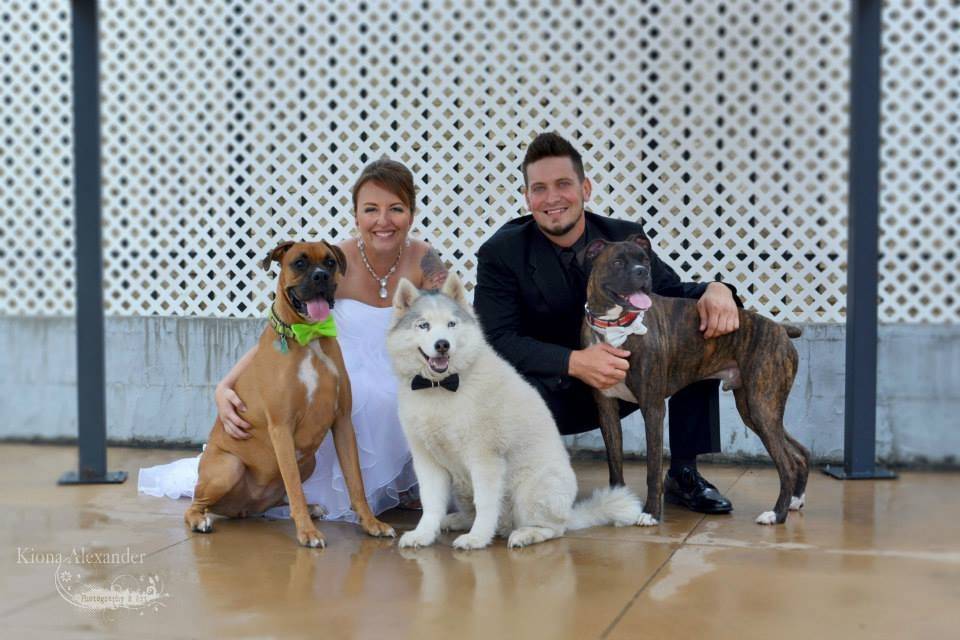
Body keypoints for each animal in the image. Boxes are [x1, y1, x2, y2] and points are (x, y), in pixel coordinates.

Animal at [184, 240, 394, 544]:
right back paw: (199, 519)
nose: (321, 276)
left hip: (309, 461)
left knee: (277, 498)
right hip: (229, 466)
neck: (308, 337)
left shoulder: (342, 422)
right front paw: (307, 533)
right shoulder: (281, 428)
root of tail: (243, 507)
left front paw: (371, 523)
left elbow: (356, 482)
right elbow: (293, 485)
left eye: (330, 262)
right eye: (299, 263)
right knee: (195, 504)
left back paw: (308, 507)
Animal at [384, 276, 644, 552]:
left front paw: (477, 538)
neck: (441, 387)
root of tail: (569, 513)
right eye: (423, 325)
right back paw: (456, 520)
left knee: (553, 529)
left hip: (530, 489)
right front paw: (423, 534)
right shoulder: (427, 461)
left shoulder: (485, 458)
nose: (442, 345)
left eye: (451, 324)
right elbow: (431, 504)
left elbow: (486, 503)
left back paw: (526, 533)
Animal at [576, 235, 808, 524]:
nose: (643, 273)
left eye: (644, 260)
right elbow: (614, 463)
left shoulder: (652, 407)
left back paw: (776, 514)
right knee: (798, 454)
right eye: (618, 262)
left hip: (762, 406)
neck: (615, 326)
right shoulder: (606, 409)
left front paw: (650, 513)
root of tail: (780, 328)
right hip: (756, 410)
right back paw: (795, 501)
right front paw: (615, 503)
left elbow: (653, 467)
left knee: (787, 463)